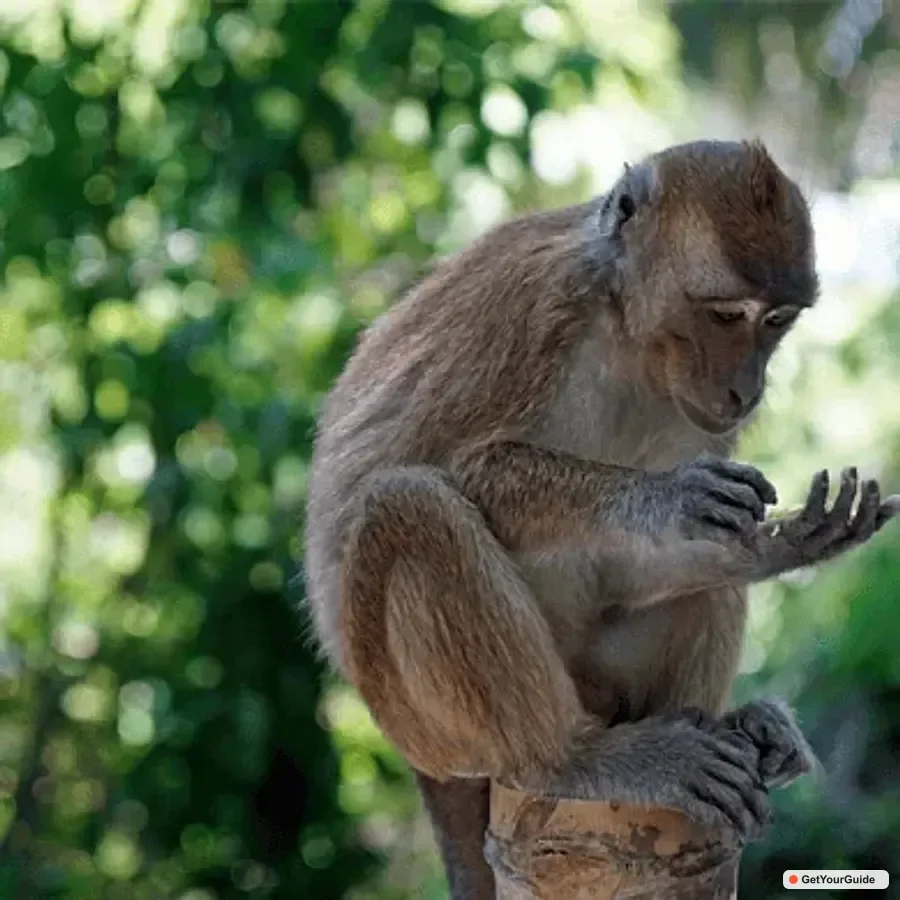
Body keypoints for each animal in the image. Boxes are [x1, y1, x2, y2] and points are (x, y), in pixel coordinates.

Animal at [303, 140, 899, 898]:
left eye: (777, 320)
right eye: (725, 314)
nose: (746, 389)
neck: (626, 331)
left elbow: (677, 551)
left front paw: (782, 544)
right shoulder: (537, 304)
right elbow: (452, 464)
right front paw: (667, 496)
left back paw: (732, 724)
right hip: (418, 716)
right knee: (407, 504)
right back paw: (570, 758)